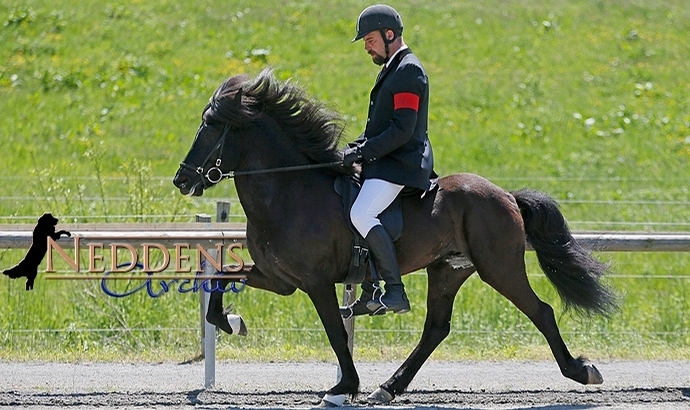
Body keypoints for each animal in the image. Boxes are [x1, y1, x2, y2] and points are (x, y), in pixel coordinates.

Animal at [175, 69, 616, 406]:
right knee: (436, 329)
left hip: (499, 267)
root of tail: (505, 194)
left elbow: (336, 331)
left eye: (211, 128)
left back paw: (582, 371)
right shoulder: (281, 279)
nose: (182, 180)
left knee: (541, 311)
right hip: (448, 270)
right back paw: (389, 387)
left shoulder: (316, 282)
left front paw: (344, 387)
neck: (288, 191)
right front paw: (231, 322)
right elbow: (218, 277)